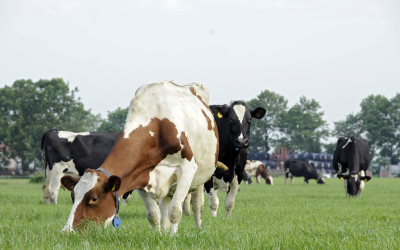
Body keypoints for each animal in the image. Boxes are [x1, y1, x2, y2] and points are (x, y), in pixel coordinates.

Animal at [59, 81, 223, 235]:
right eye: (73, 196)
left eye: (94, 198)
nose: (67, 232)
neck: (157, 125)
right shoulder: (140, 174)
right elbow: (153, 214)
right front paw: (159, 237)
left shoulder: (187, 168)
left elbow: (175, 210)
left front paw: (172, 238)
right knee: (165, 204)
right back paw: (165, 229)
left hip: (201, 175)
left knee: (197, 204)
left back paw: (198, 229)